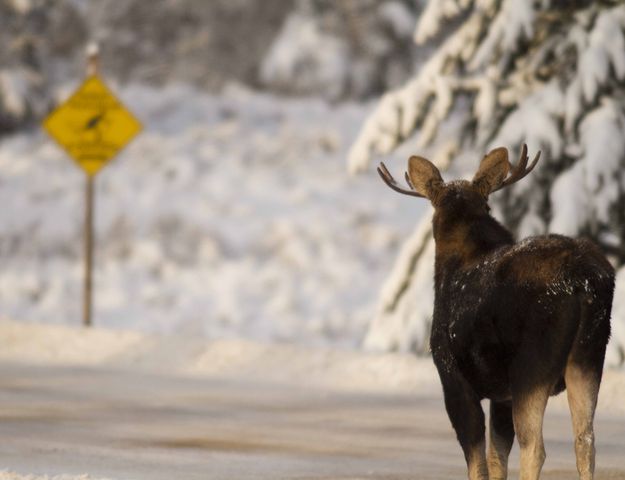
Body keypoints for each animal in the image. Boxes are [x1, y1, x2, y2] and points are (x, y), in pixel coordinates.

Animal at [378, 146, 612, 480]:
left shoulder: (453, 377)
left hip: (531, 366)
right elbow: (497, 458)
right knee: (585, 441)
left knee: (535, 448)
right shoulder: (502, 395)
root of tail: (583, 281)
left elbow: (478, 462)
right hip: (588, 356)